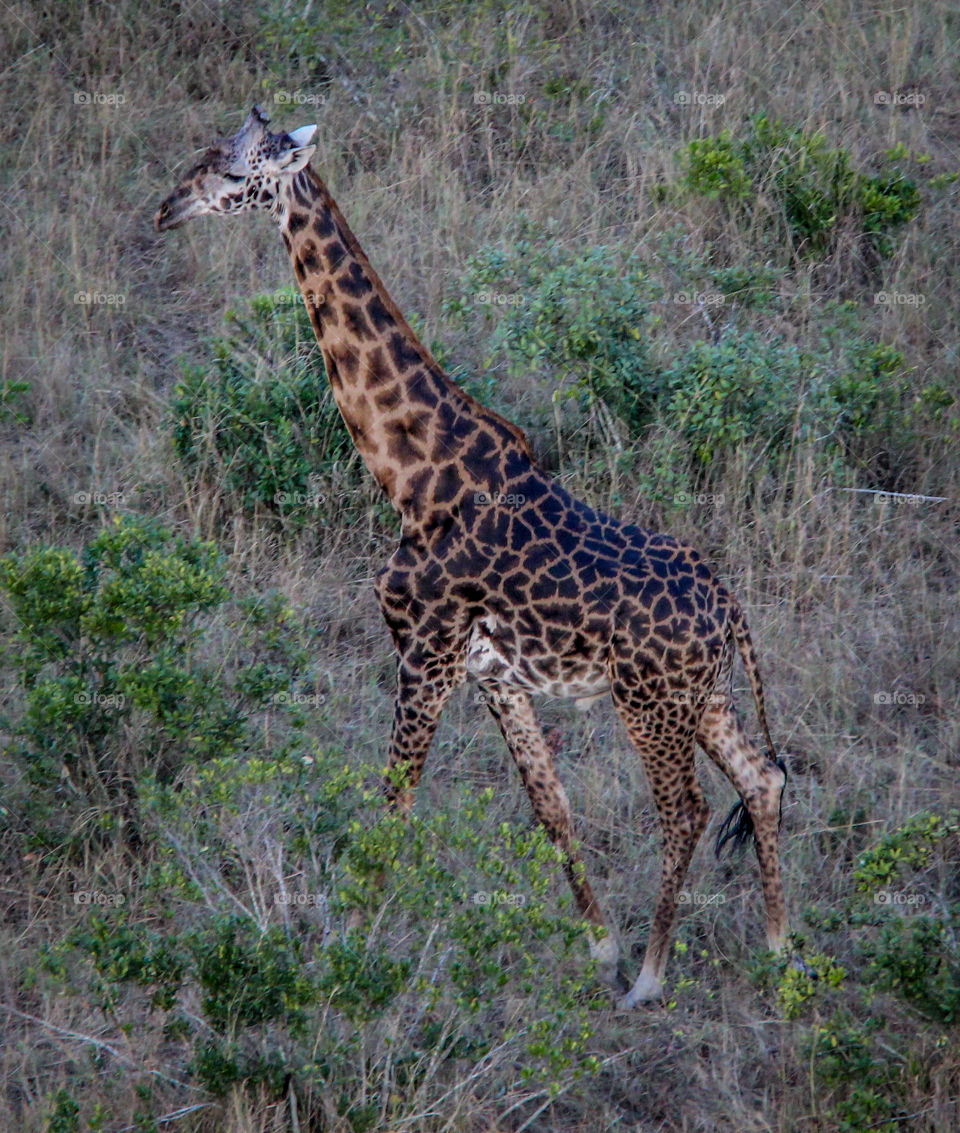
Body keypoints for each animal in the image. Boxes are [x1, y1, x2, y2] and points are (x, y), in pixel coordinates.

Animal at [156, 107, 792, 1007]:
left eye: (231, 169)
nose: (164, 210)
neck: (409, 472)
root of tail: (730, 609)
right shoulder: (493, 672)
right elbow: (549, 804)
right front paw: (597, 944)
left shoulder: (423, 653)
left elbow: (393, 804)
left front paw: (347, 951)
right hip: (703, 697)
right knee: (762, 779)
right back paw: (778, 947)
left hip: (649, 704)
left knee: (687, 811)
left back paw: (652, 975)